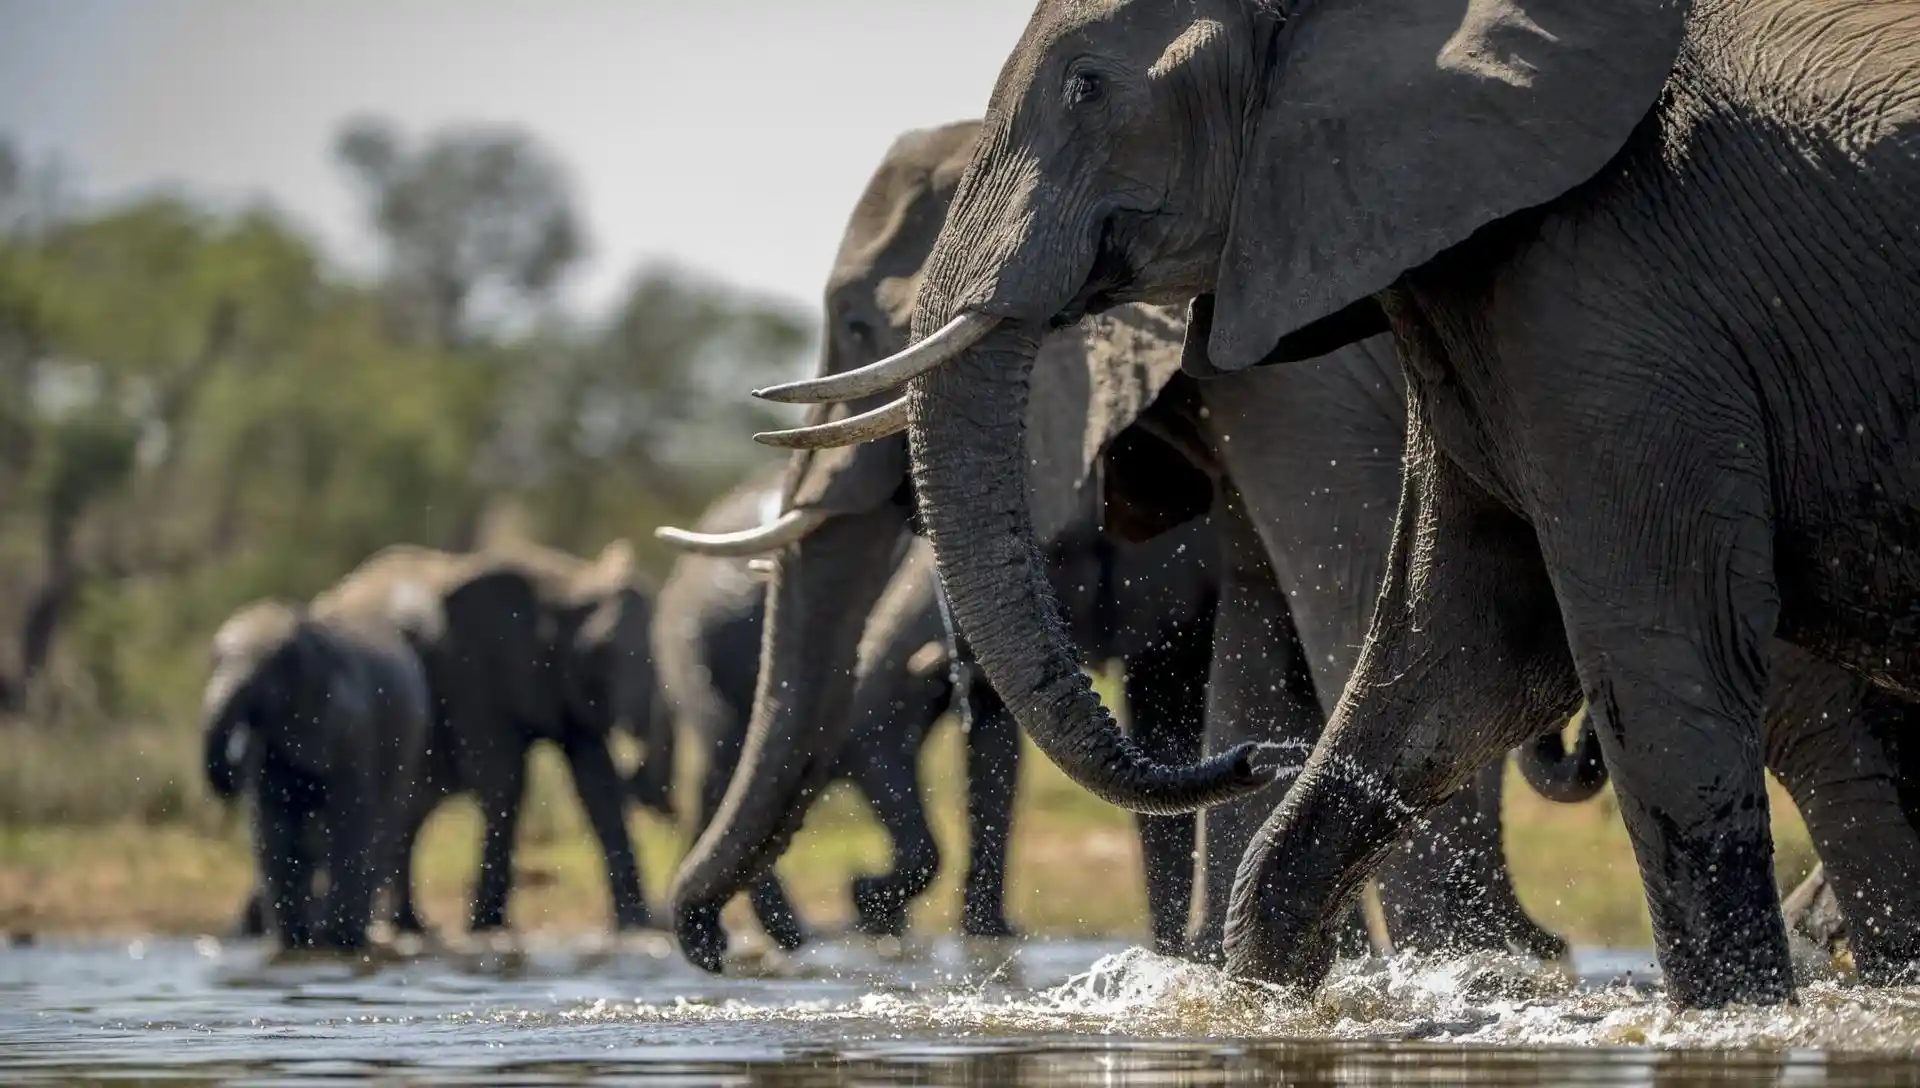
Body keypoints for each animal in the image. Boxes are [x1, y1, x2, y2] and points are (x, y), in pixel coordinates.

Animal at [197, 598, 428, 947]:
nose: (231, 773)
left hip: (407, 748)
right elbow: (273, 826)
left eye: (266, 683)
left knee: (381, 830)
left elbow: (348, 820)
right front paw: (292, 942)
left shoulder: (351, 727)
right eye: (213, 661)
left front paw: (337, 940)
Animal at [307, 541, 675, 932]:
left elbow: (597, 784)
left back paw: (409, 924)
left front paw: (636, 924)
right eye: (601, 650)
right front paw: (486, 925)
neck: (567, 583)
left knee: (409, 809)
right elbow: (503, 777)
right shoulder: (472, 670)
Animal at [652, 117, 1582, 970]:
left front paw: (1458, 966)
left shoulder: (1308, 391)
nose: (714, 951)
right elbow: (1253, 638)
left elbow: (1351, 612)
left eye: (855, 324)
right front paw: (1218, 969)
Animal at [760, 0, 1920, 1013]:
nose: (1251, 768)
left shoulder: (1607, 298)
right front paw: (1269, 994)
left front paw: (1717, 1016)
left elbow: (1645, 653)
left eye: (1087, 88)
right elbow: (1458, 648)